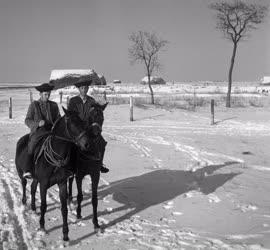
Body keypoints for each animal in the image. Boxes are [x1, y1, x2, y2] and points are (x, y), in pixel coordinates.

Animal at [15, 108, 90, 241]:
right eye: (72, 124)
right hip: (21, 172)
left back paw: (33, 208)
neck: (57, 157)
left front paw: (65, 234)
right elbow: (44, 206)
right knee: (24, 185)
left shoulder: (62, 183)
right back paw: (24, 203)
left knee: (32, 188)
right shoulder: (44, 184)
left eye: (83, 122)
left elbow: (64, 208)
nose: (86, 144)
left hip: (36, 178)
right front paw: (42, 227)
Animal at [67, 101, 107, 232]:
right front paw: (79, 214)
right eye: (90, 117)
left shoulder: (95, 175)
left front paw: (96, 222)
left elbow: (94, 199)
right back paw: (69, 199)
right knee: (70, 181)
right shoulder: (79, 175)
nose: (96, 133)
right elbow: (80, 196)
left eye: (102, 118)